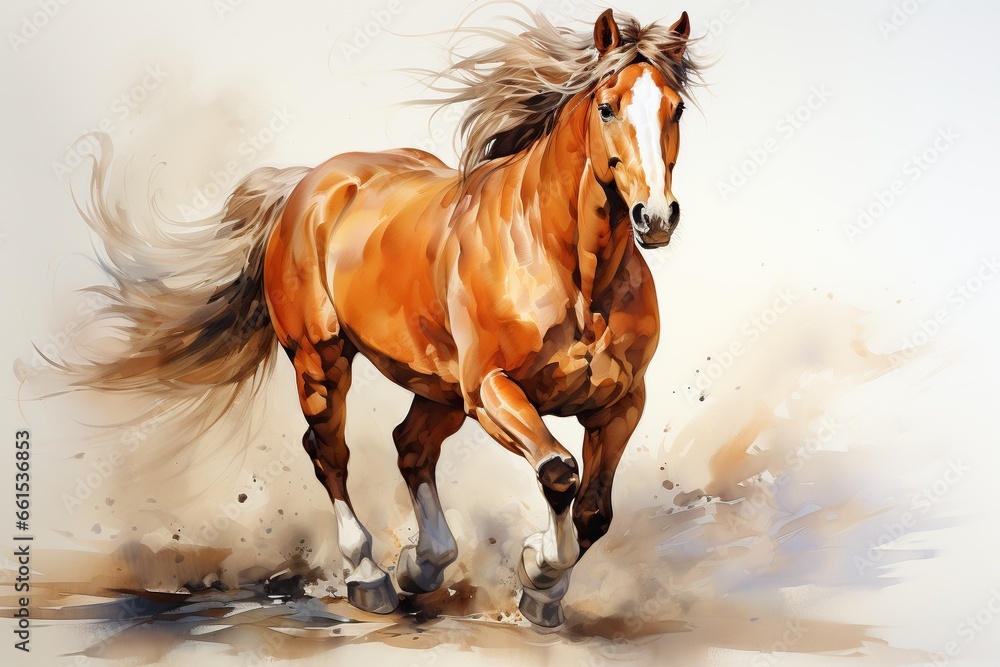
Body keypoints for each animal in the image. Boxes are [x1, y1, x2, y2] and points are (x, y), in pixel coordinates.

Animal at [65, 8, 698, 627]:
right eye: (607, 106)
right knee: (330, 453)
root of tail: (310, 184)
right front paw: (538, 569)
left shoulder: (620, 403)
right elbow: (559, 472)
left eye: (677, 108)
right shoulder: (491, 390)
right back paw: (370, 577)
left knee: (410, 446)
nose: (656, 217)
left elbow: (594, 511)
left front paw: (542, 595)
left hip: (436, 387)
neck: (572, 272)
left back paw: (423, 566)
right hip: (322, 362)